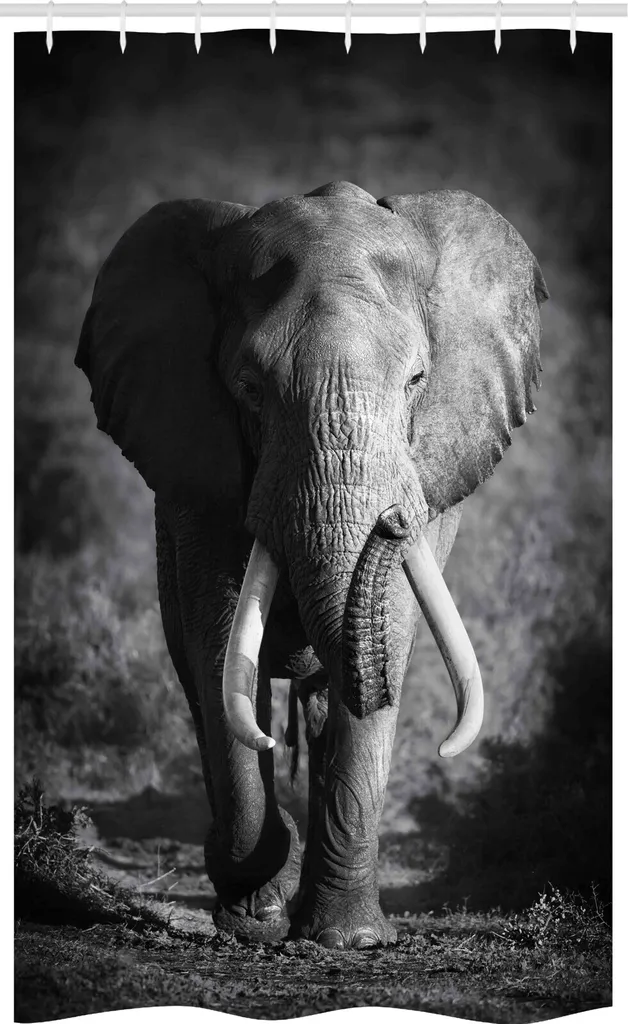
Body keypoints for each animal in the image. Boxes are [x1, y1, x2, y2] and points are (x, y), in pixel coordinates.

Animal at [76, 180, 548, 950]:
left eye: (418, 379)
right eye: (249, 387)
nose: (391, 521)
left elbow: (389, 636)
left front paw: (348, 940)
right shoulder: (200, 477)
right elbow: (217, 646)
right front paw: (256, 908)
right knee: (206, 679)